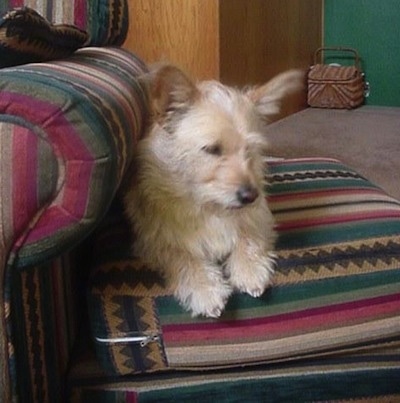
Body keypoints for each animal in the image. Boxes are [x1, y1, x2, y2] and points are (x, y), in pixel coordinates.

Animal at [123, 64, 304, 318]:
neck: (208, 205)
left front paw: (249, 269)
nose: (250, 196)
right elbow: (183, 256)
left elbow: (248, 235)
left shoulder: (258, 215)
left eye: (249, 149)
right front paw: (205, 287)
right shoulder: (153, 238)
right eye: (212, 149)